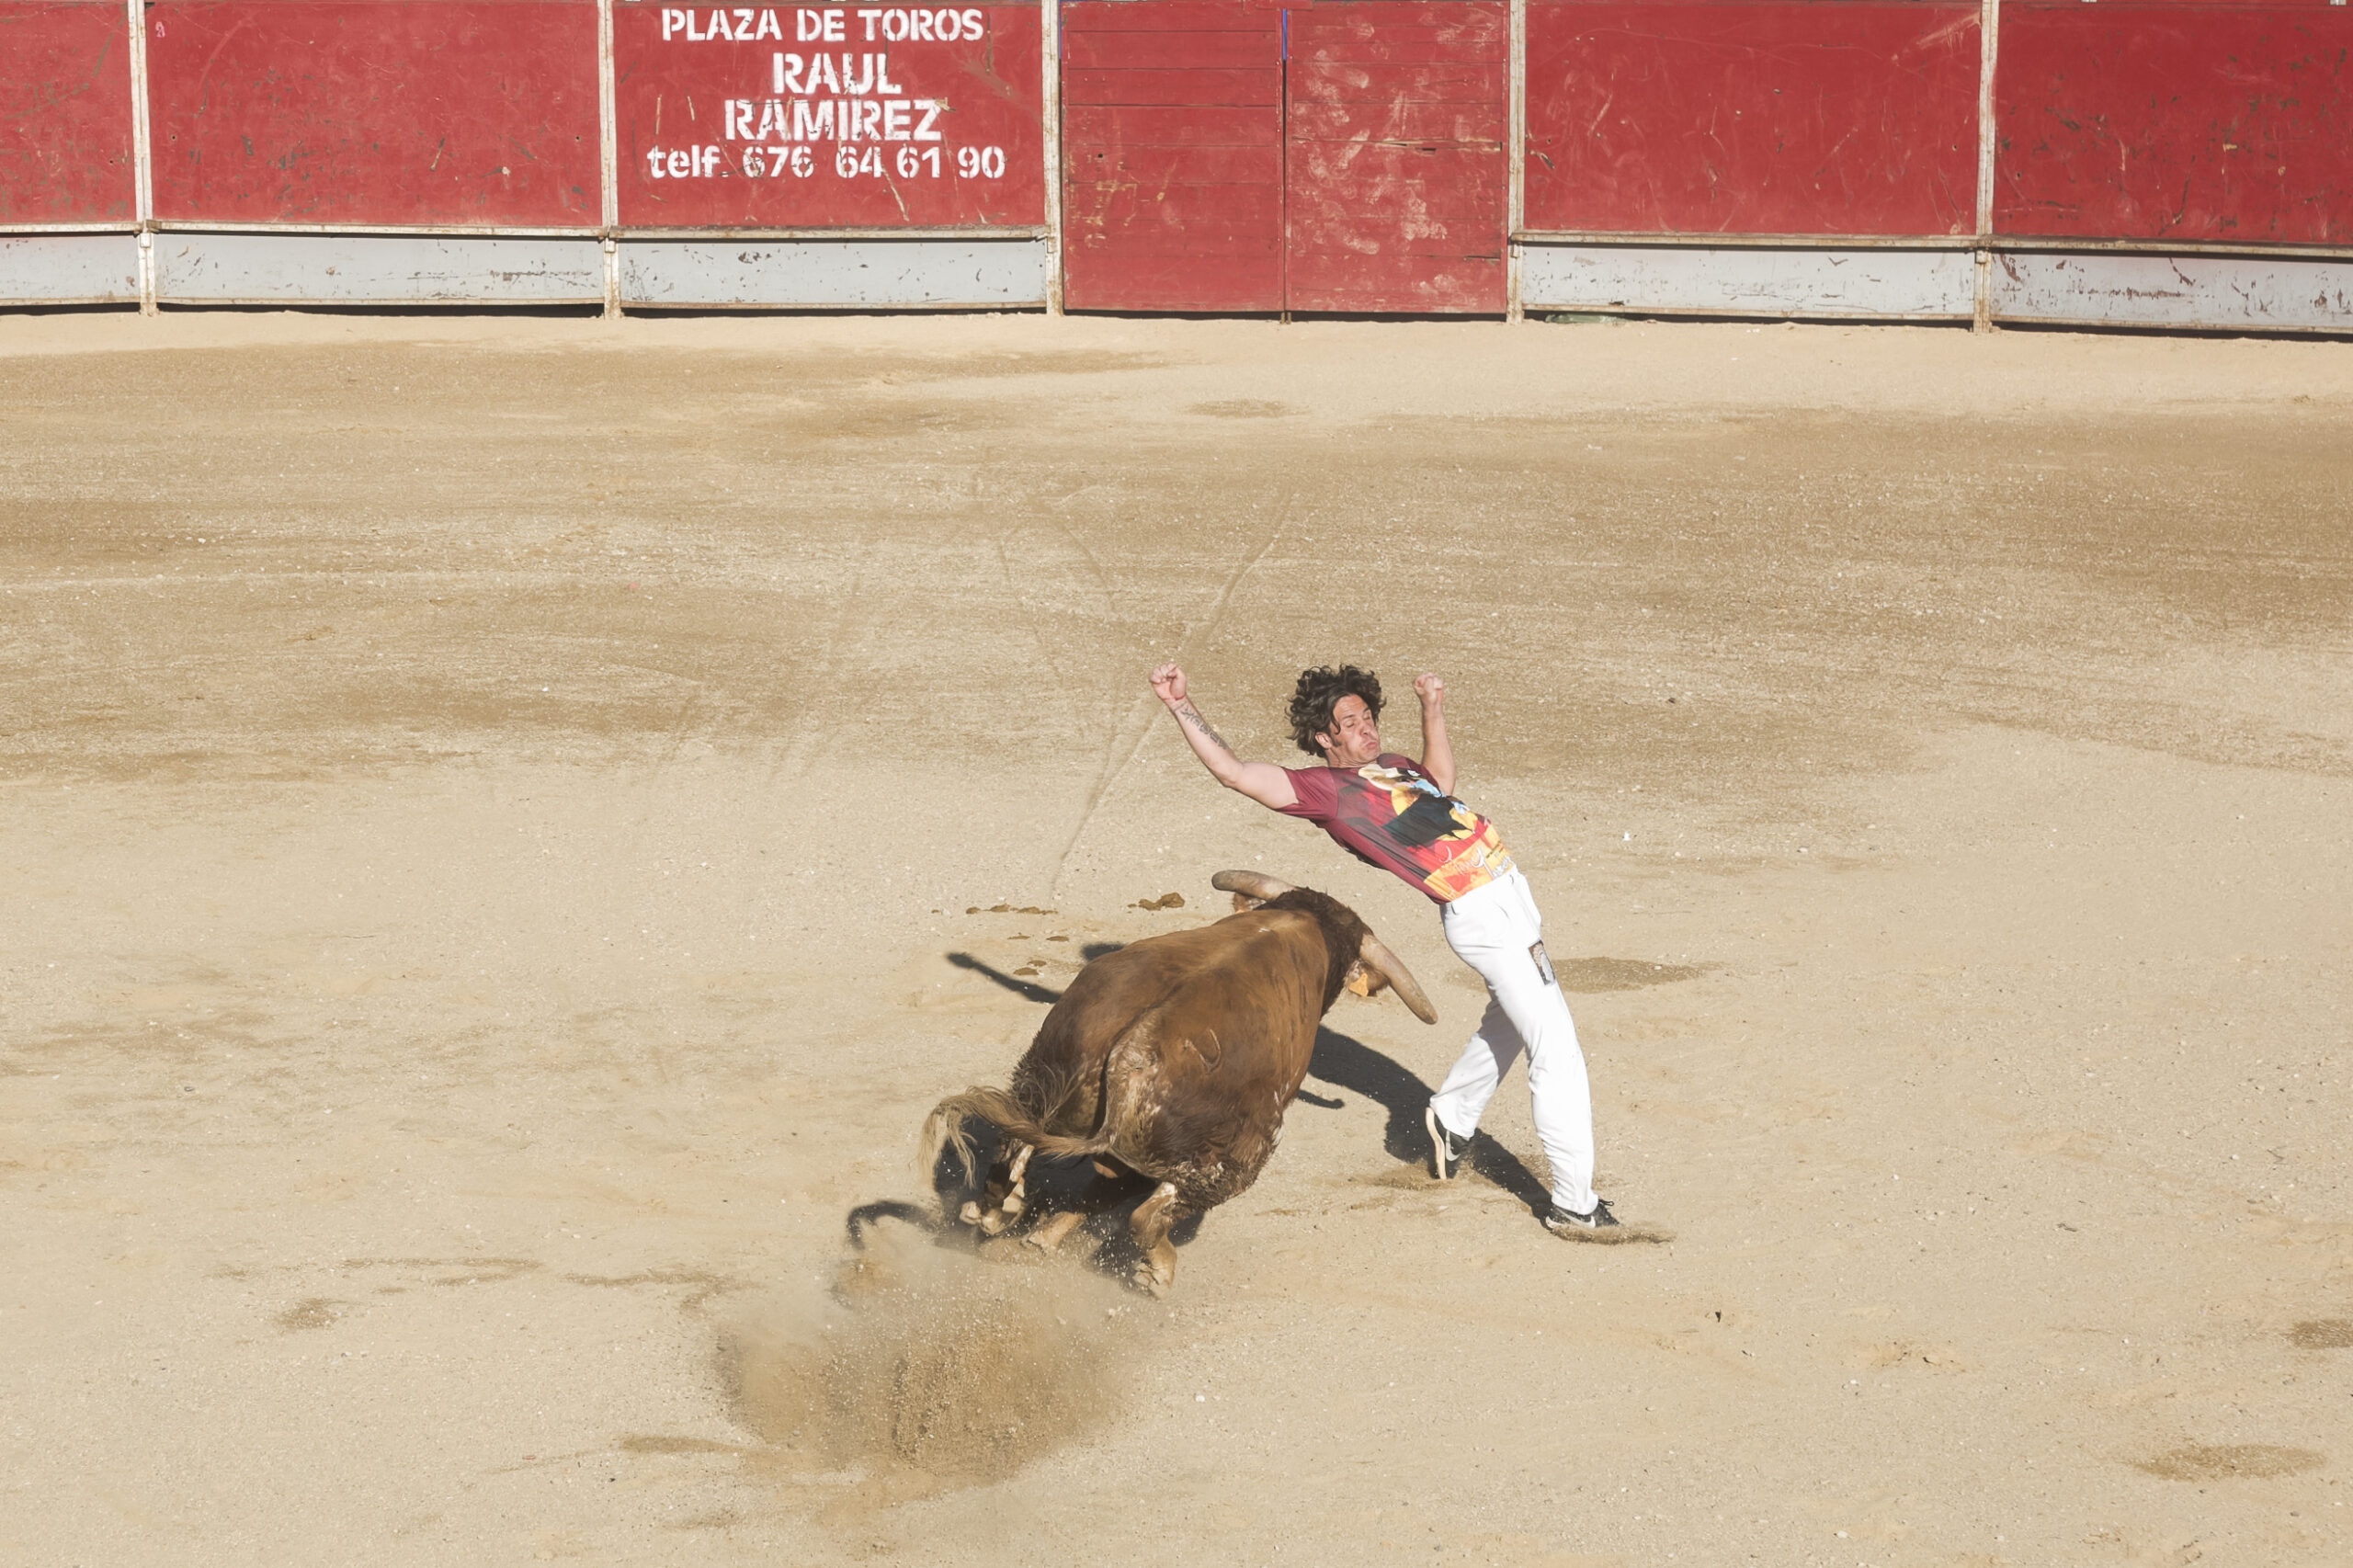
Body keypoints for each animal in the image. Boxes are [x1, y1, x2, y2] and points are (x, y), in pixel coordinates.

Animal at [913, 861, 1430, 1290]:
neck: (1304, 923)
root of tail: (1131, 1054)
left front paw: (1039, 1234)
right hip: (1231, 1161)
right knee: (1148, 1215)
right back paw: (1156, 1273)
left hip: (1038, 1087)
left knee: (1013, 1157)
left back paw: (998, 1216)